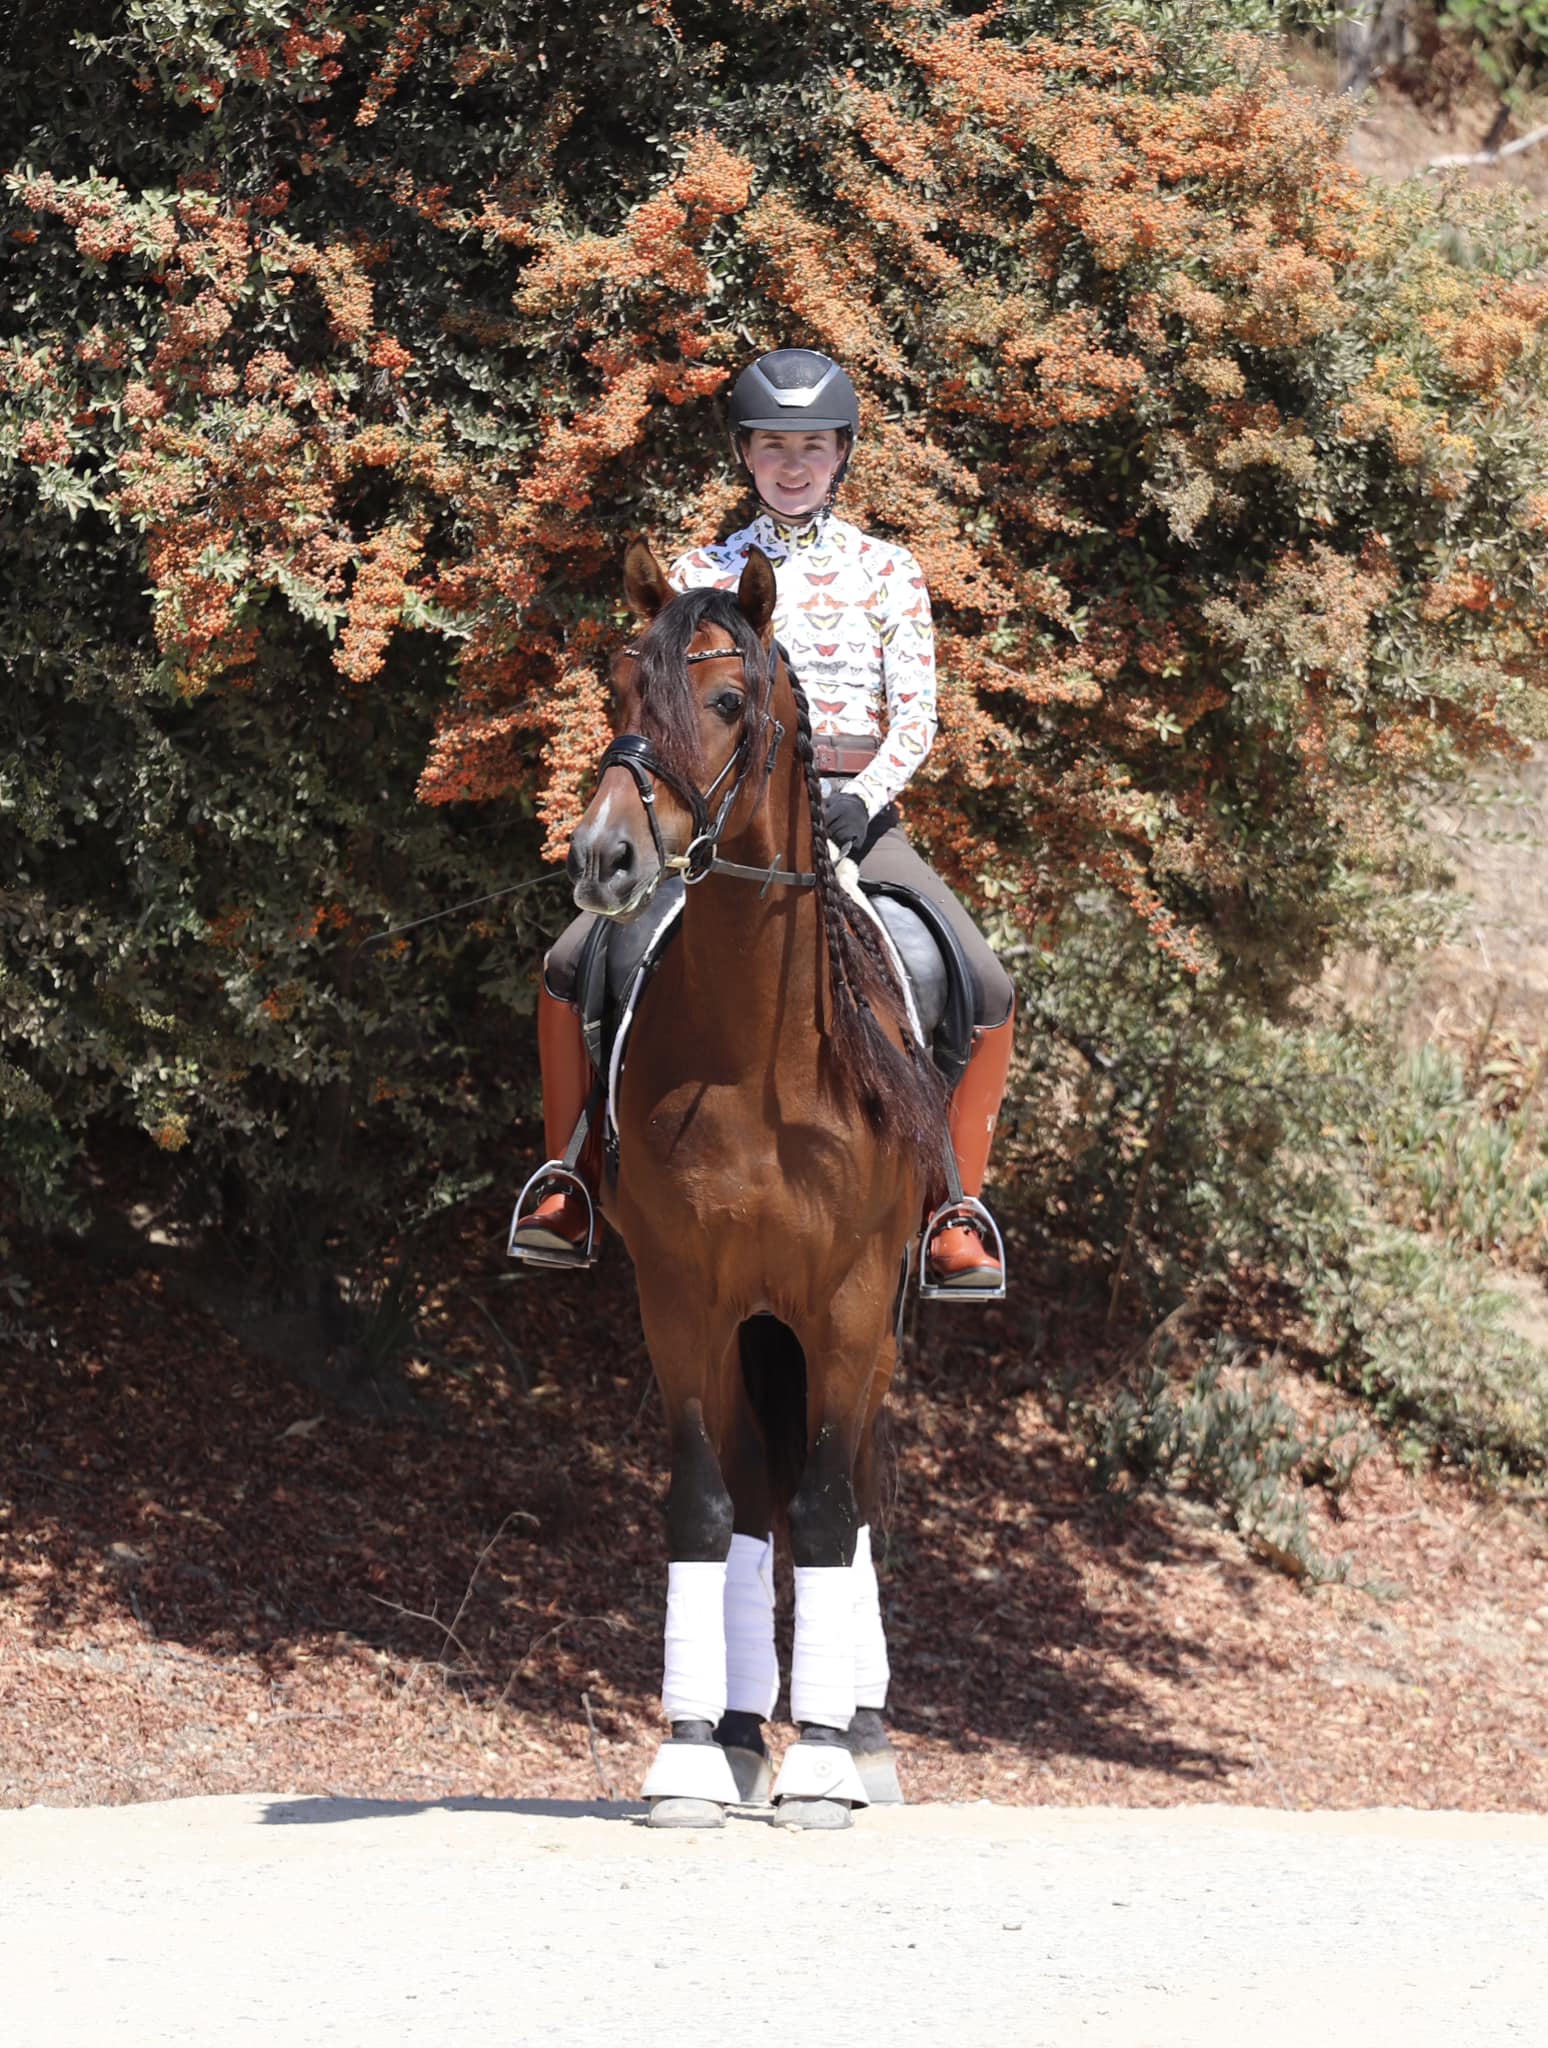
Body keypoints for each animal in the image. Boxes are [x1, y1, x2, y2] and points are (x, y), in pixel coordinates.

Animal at [561, 538, 950, 1829]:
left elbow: (829, 1512)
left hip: (865, 1327)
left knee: (853, 1495)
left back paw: (859, 1736)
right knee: (749, 1492)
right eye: (621, 690)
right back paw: (738, 1731)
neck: (756, 1060)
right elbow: (706, 1503)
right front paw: (692, 1751)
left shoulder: (847, 1301)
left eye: (731, 701)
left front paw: (822, 1761)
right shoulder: (683, 1298)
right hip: (749, 1325)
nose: (606, 858)